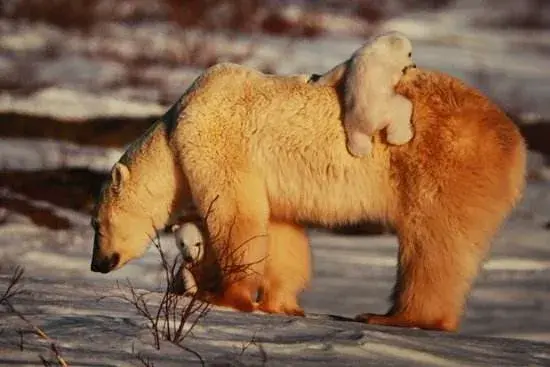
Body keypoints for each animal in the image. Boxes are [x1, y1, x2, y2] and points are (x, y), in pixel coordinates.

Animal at [89, 61, 528, 332]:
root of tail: (515, 141)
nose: (97, 264)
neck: (174, 129)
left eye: (96, 223)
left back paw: (394, 316)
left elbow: (237, 214)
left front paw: (223, 295)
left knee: (433, 241)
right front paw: (279, 303)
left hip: (441, 162)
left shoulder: (215, 140)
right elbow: (281, 231)